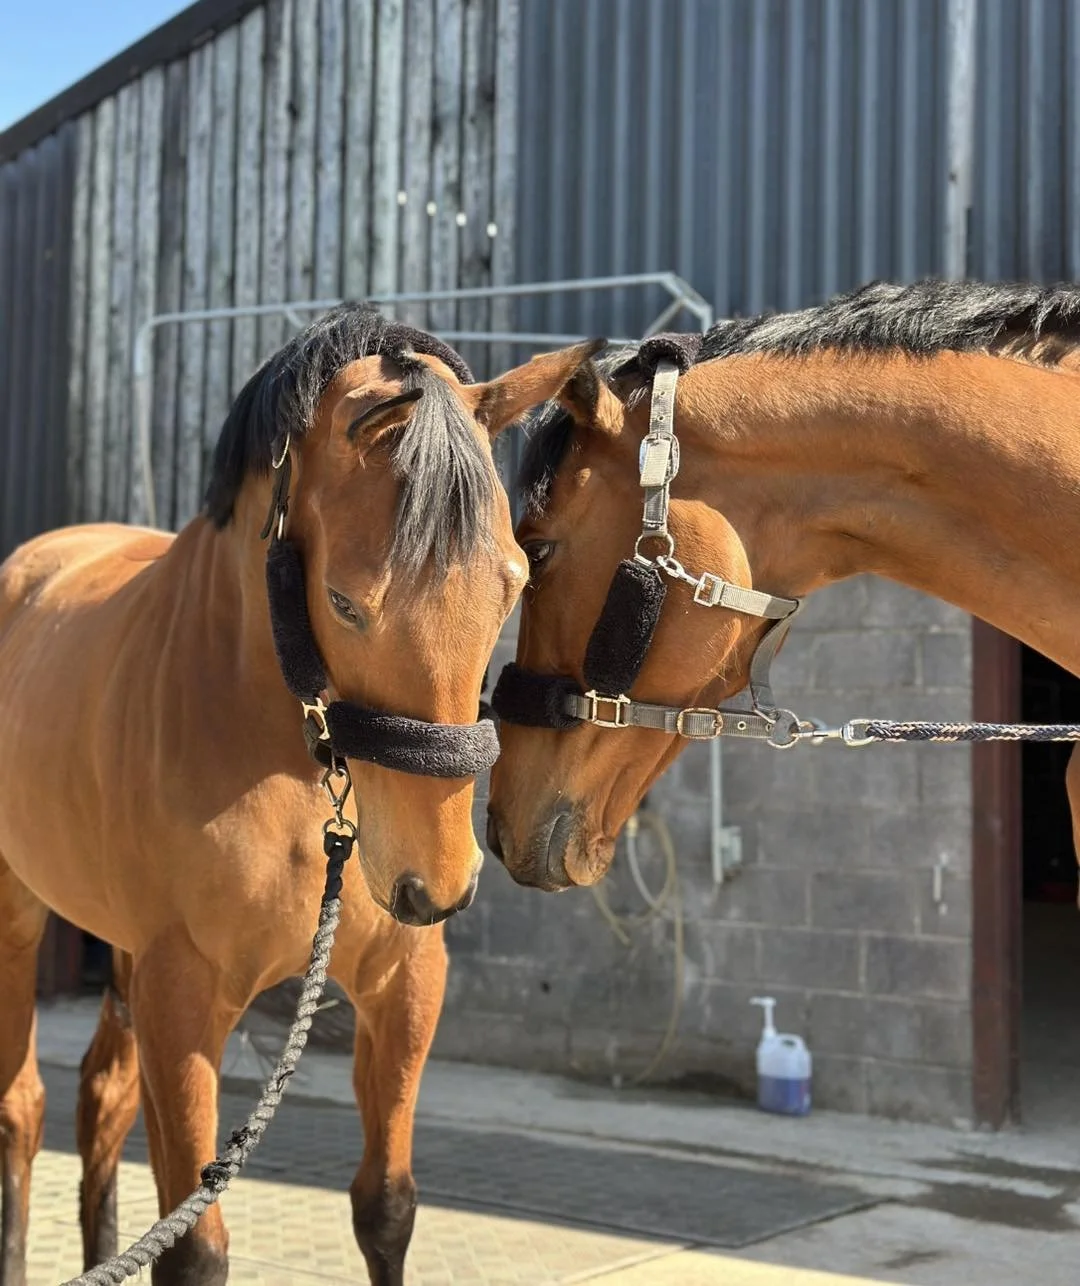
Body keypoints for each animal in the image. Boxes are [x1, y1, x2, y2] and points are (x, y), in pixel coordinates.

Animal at [0, 304, 599, 1286]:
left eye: (513, 580)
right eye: (345, 602)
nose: (436, 887)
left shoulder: (404, 981)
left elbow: (386, 1208)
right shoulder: (183, 998)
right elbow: (194, 1247)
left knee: (102, 1100)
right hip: (19, 917)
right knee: (24, 1110)